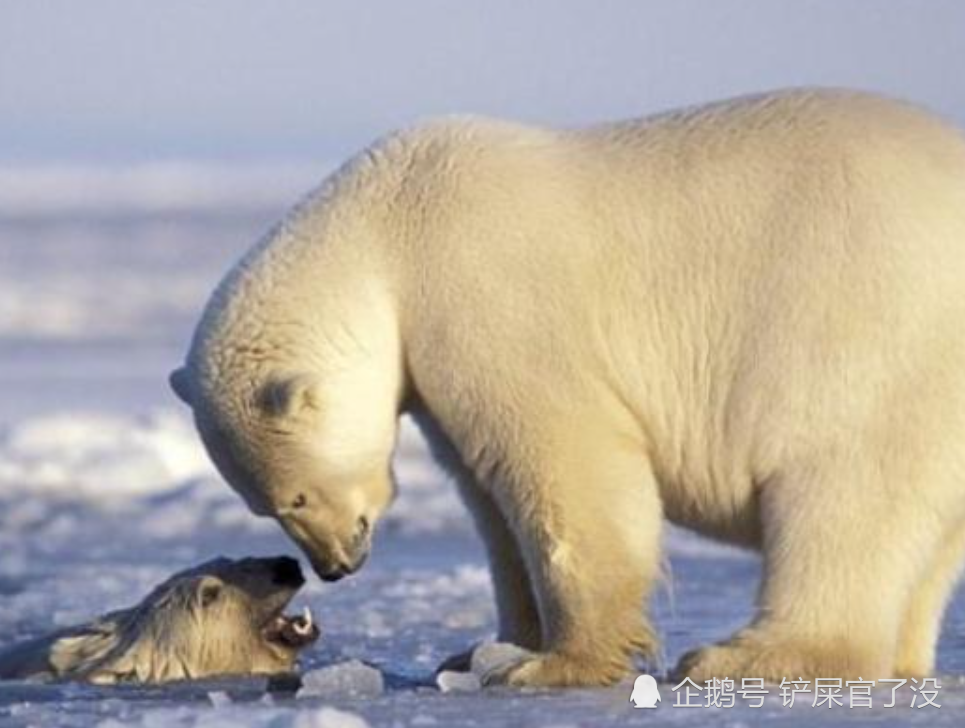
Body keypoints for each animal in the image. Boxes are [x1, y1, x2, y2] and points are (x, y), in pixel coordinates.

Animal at [169, 88, 964, 684]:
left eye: (293, 498)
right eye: (264, 504)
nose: (335, 567)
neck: (386, 224)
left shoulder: (485, 293)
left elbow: (567, 468)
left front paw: (553, 664)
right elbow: (489, 499)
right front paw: (482, 651)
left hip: (872, 337)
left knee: (841, 494)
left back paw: (744, 656)